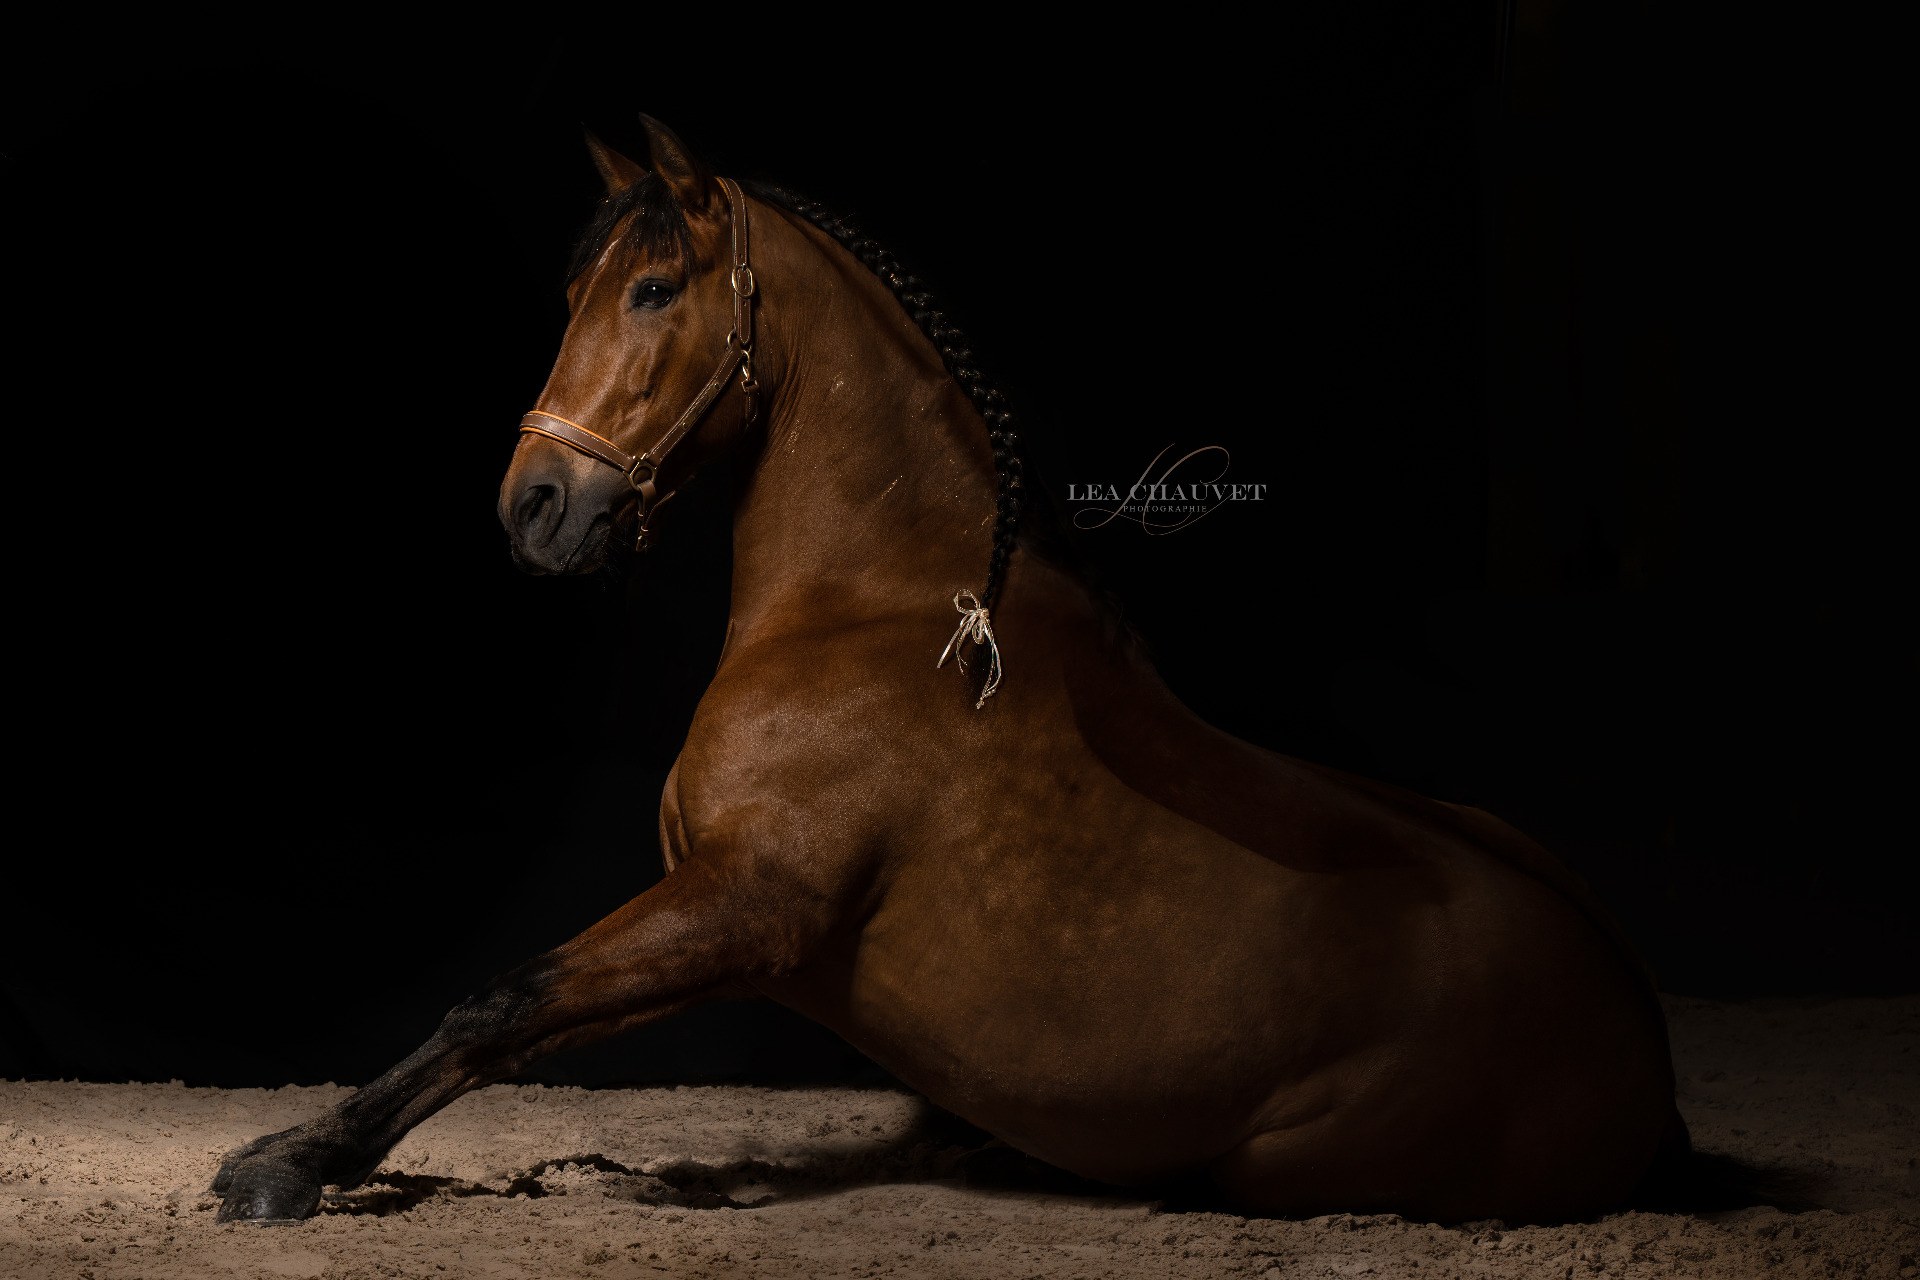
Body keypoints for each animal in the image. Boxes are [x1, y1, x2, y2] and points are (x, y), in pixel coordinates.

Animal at [211, 117, 1685, 1226]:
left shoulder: (743, 907)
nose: (533, 508)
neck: (879, 610)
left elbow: (501, 999)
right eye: (582, 293)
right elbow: (530, 1021)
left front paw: (290, 1164)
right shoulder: (715, 918)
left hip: (1282, 1160)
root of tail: (1645, 1057)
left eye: (653, 291)